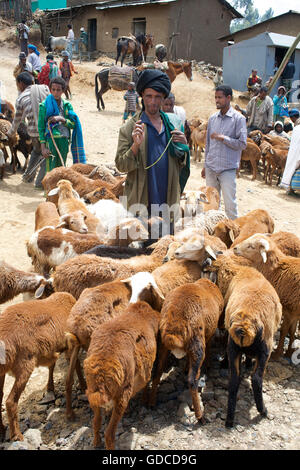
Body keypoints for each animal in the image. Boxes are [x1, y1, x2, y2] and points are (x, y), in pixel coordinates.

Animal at [0, 292, 78, 442]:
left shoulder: (53, 349)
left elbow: (52, 366)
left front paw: (50, 387)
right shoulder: (70, 346)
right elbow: (71, 376)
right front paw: (70, 413)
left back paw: (1, 429)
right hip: (25, 365)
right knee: (11, 402)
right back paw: (17, 435)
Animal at [149, 280, 223, 422]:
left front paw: (185, 367)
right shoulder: (208, 335)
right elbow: (209, 347)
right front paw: (208, 366)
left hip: (163, 346)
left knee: (157, 371)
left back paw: (151, 402)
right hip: (197, 343)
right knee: (192, 380)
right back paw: (200, 417)